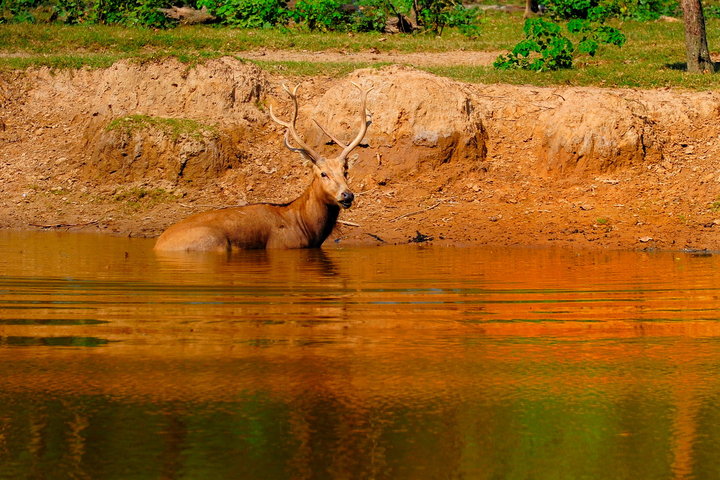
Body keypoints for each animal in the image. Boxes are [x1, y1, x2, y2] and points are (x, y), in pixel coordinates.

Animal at [155, 83, 374, 255]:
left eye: (345, 172)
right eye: (323, 173)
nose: (347, 195)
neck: (305, 226)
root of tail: (158, 245)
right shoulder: (282, 246)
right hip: (213, 242)